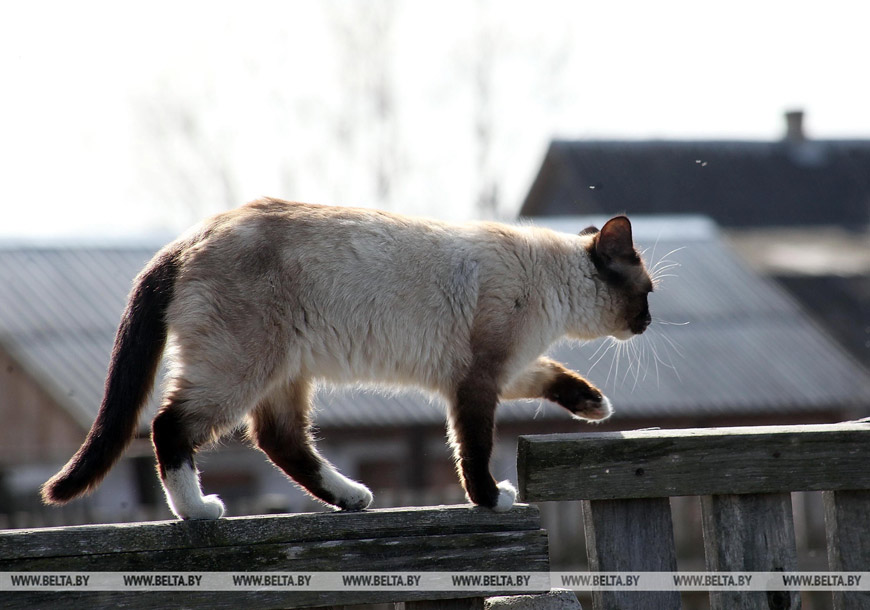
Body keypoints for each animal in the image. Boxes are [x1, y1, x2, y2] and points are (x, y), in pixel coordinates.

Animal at [41, 198, 653, 519]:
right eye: (646, 292)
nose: (647, 323)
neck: (548, 283)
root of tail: (183, 241)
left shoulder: (503, 369)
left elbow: (552, 376)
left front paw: (595, 406)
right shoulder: (476, 380)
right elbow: (474, 451)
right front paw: (491, 500)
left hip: (286, 372)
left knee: (279, 440)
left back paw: (351, 497)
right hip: (242, 370)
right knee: (170, 426)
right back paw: (200, 510)